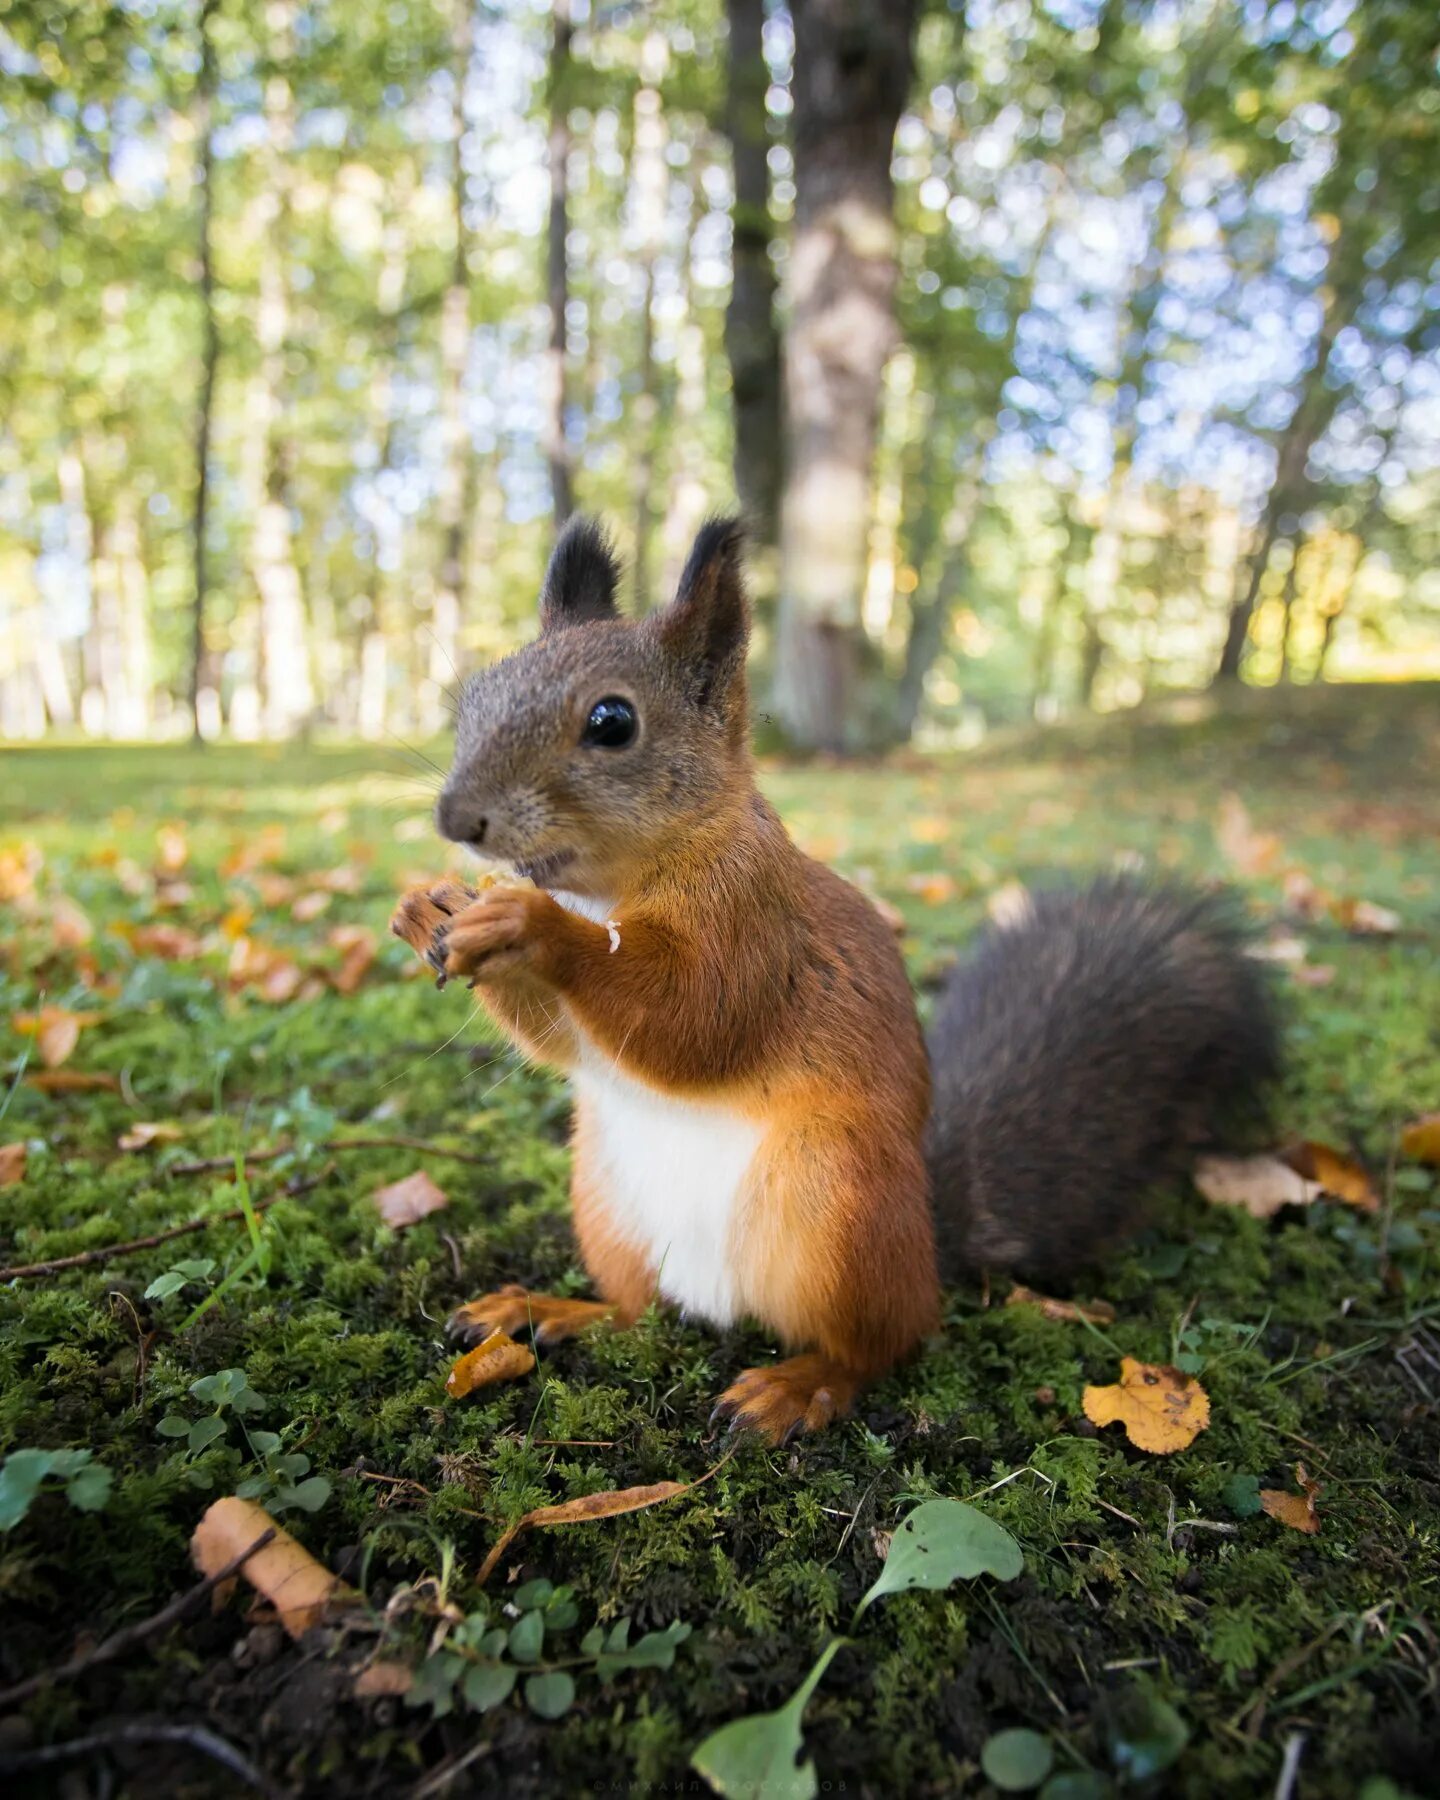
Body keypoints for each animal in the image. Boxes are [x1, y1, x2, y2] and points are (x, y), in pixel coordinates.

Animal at [388, 514, 1274, 1440]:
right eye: (477, 691)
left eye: (612, 721)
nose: (455, 818)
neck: (610, 885)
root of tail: (926, 1238)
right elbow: (564, 1043)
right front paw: (426, 909)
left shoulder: (754, 926)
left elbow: (693, 1019)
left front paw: (529, 924)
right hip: (607, 1205)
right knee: (638, 1310)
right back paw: (548, 1309)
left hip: (836, 1207)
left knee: (885, 1343)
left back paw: (797, 1385)